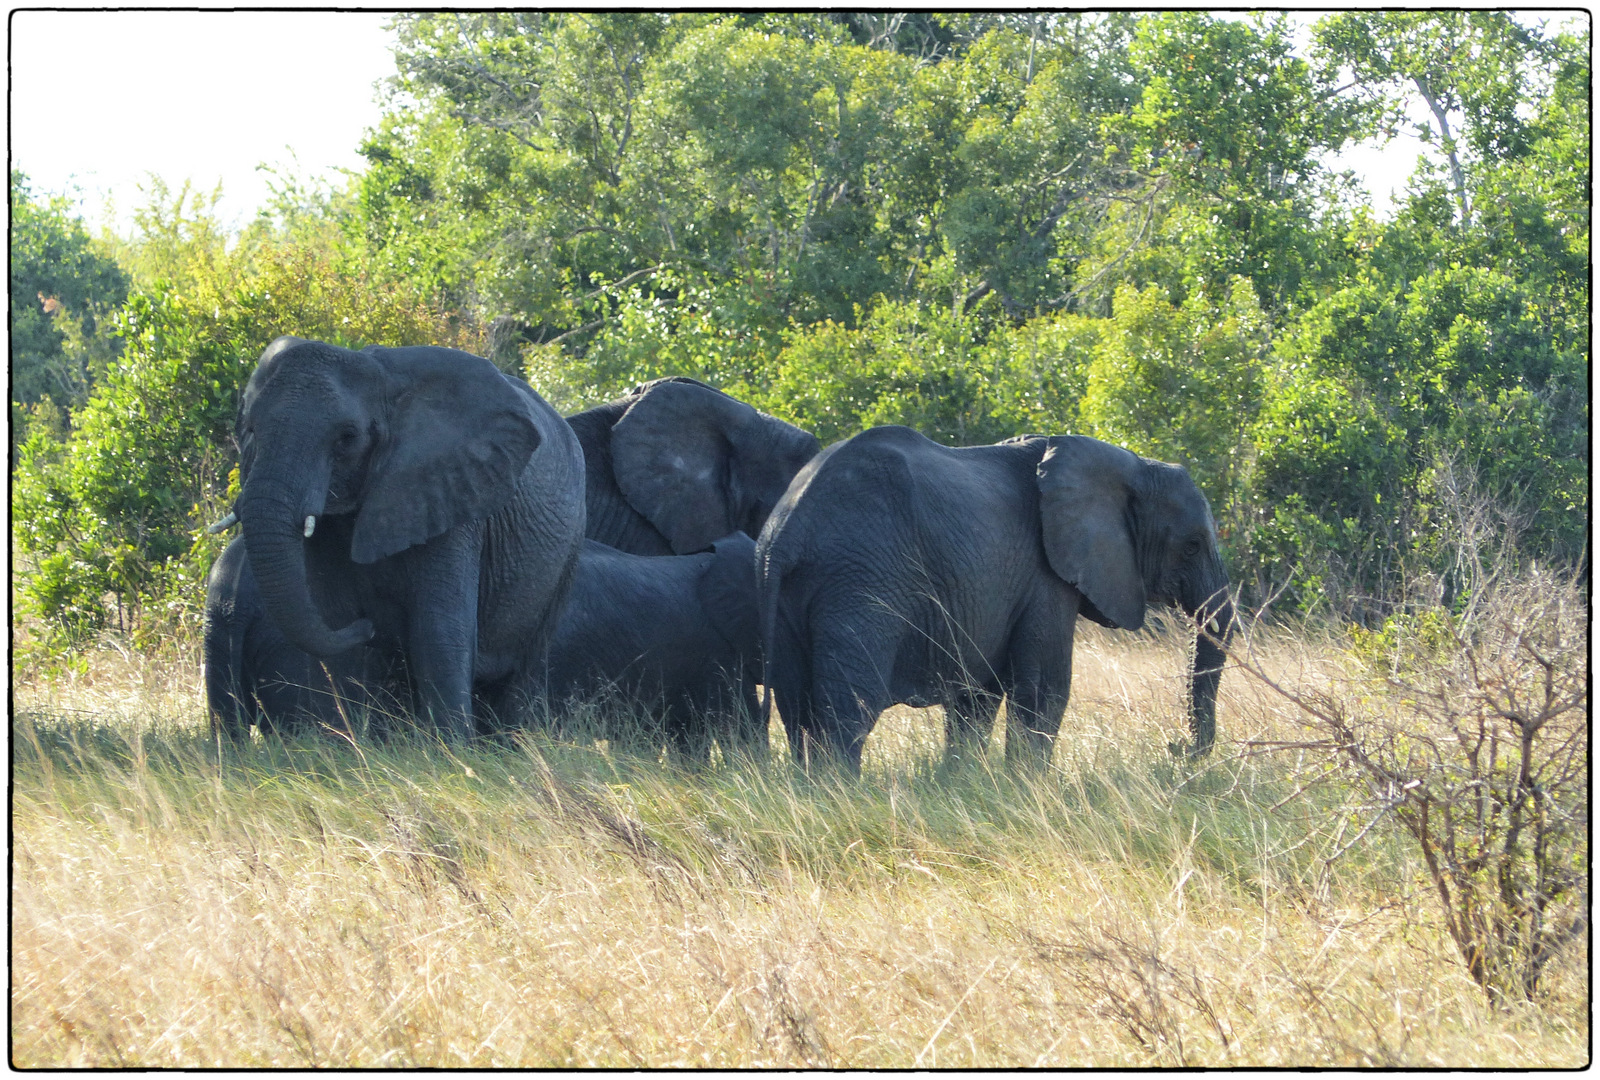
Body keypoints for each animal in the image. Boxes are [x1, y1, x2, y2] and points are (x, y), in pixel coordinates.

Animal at [232, 337, 588, 742]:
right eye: (250, 431)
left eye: (346, 438)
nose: (370, 626)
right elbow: (334, 628)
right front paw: (350, 747)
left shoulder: (453, 495)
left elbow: (437, 632)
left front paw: (452, 751)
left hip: (567, 551)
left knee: (528, 662)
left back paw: (514, 744)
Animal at [755, 425, 1228, 774]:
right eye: (1192, 546)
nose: (1177, 749)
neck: (1131, 464)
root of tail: (786, 534)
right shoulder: (1045, 574)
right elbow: (1045, 689)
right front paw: (1029, 786)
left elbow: (976, 697)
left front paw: (964, 779)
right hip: (861, 585)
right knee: (850, 707)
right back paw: (844, 792)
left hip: (797, 597)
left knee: (797, 707)